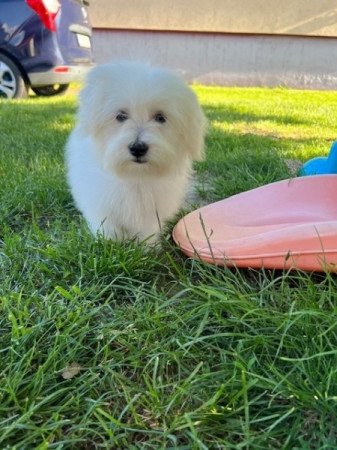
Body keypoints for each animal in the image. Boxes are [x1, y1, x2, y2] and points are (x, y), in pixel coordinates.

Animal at [66, 61, 205, 243]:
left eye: (160, 117)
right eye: (120, 116)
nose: (138, 148)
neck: (135, 175)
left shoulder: (151, 211)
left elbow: (147, 230)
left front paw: (148, 246)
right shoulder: (101, 202)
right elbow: (107, 226)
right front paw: (109, 242)